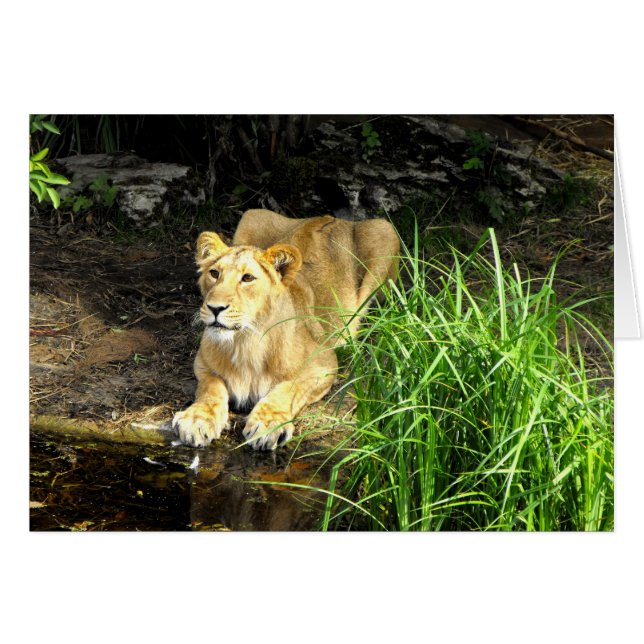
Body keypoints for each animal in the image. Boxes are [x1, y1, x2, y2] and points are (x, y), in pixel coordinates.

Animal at [172, 208, 399, 450]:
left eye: (247, 278)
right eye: (214, 273)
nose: (215, 308)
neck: (245, 342)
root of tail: (335, 218)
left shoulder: (324, 364)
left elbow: (289, 388)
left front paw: (268, 423)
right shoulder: (203, 364)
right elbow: (210, 389)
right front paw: (197, 419)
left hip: (385, 232)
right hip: (253, 215)